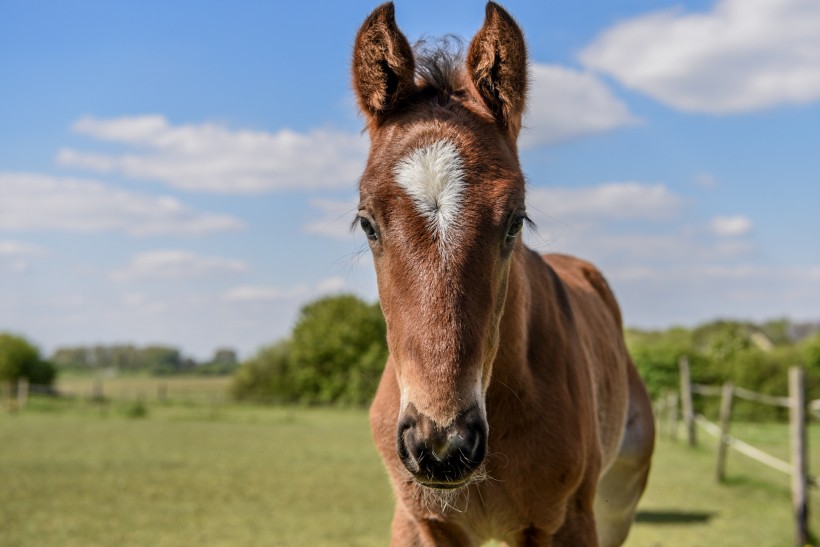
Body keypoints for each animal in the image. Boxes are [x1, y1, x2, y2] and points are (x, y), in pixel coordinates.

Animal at [352, 2, 652, 544]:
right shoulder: (419, 522)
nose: (442, 444)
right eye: (367, 223)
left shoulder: (569, 522)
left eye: (515, 221)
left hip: (617, 507)